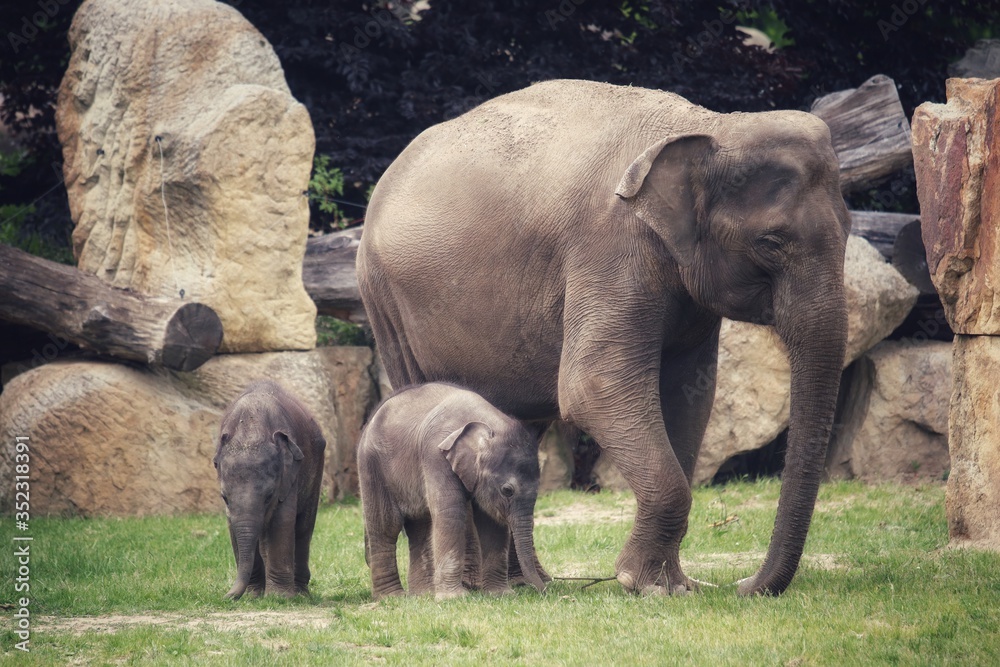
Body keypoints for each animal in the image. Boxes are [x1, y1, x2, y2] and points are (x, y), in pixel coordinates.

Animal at [213, 380, 326, 600]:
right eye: (224, 498)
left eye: (269, 497)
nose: (226, 598)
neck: (250, 425)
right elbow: (233, 526)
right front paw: (253, 596)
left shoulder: (289, 474)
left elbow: (281, 521)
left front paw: (279, 598)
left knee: (303, 526)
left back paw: (300, 593)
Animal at [360, 384, 548, 604]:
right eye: (507, 491)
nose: (544, 590)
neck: (487, 421)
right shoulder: (435, 455)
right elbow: (451, 513)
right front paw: (453, 598)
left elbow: (491, 521)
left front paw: (500, 594)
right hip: (372, 467)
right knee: (386, 526)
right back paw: (392, 598)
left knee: (419, 526)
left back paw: (423, 595)